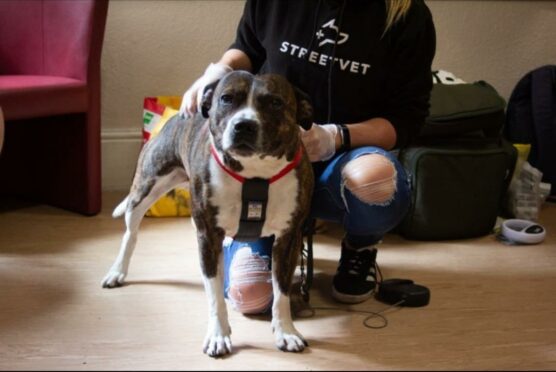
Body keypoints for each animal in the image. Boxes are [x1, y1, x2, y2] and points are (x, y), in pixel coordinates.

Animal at [102, 70, 314, 358]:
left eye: (275, 102)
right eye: (226, 99)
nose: (243, 125)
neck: (254, 173)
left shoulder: (288, 239)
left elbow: (281, 294)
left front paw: (286, 332)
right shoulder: (208, 237)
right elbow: (214, 295)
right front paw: (218, 335)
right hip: (144, 190)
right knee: (130, 234)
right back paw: (117, 271)